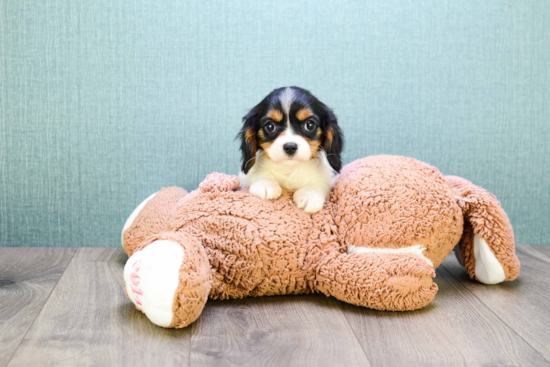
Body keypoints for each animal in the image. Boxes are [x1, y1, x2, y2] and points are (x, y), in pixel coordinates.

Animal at [238, 86, 342, 214]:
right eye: (270, 126)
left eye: (309, 124)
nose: (290, 147)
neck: (290, 168)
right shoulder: (243, 177)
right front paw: (265, 183)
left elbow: (321, 182)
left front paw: (310, 193)